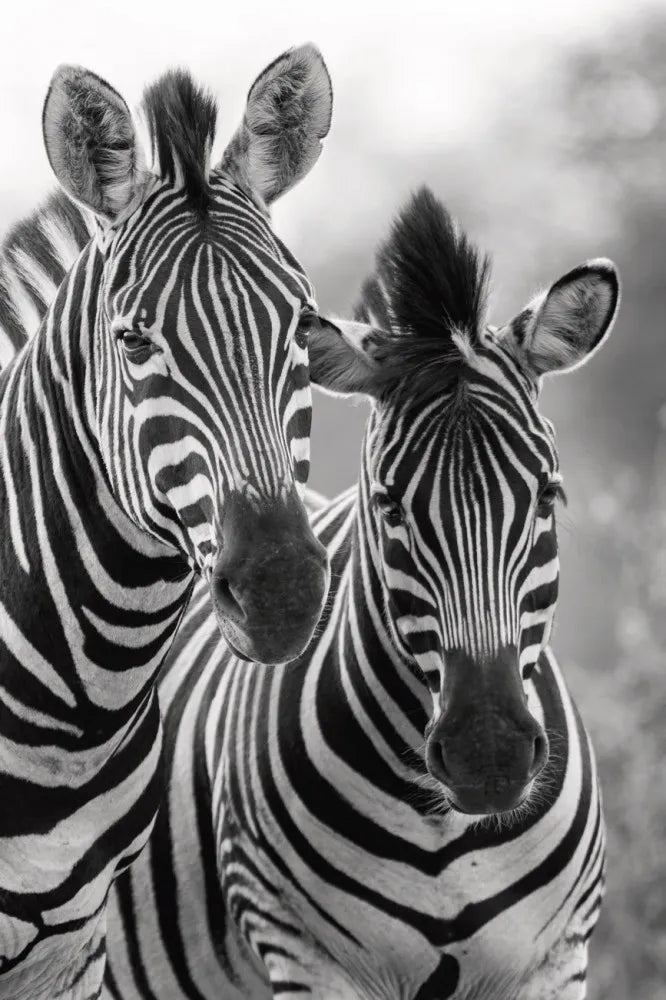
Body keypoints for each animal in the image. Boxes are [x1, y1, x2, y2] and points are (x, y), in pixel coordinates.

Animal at [102, 187, 619, 1000]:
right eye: (389, 507)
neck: (447, 835)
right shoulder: (306, 954)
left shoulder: (555, 960)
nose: (490, 755)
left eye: (548, 496)